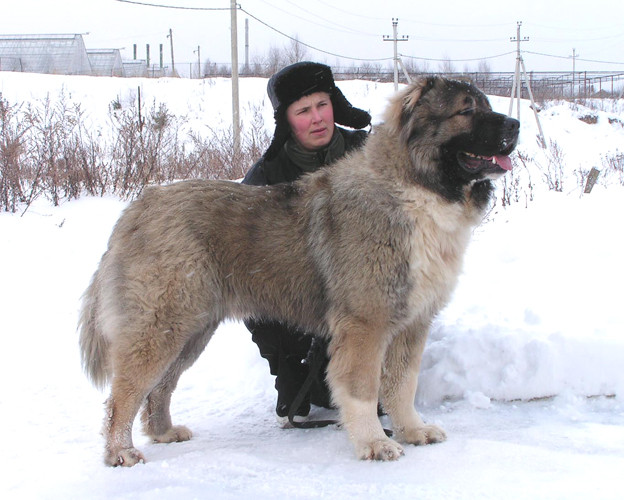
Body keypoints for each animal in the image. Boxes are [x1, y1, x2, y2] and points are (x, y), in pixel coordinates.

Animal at [80, 76, 520, 466]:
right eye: (466, 110)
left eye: (485, 105)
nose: (516, 125)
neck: (417, 188)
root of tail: (139, 206)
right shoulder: (366, 324)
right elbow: (364, 389)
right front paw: (375, 443)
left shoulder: (412, 323)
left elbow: (402, 384)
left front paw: (412, 430)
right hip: (162, 326)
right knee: (124, 394)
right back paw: (121, 452)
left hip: (192, 331)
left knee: (160, 387)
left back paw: (164, 432)